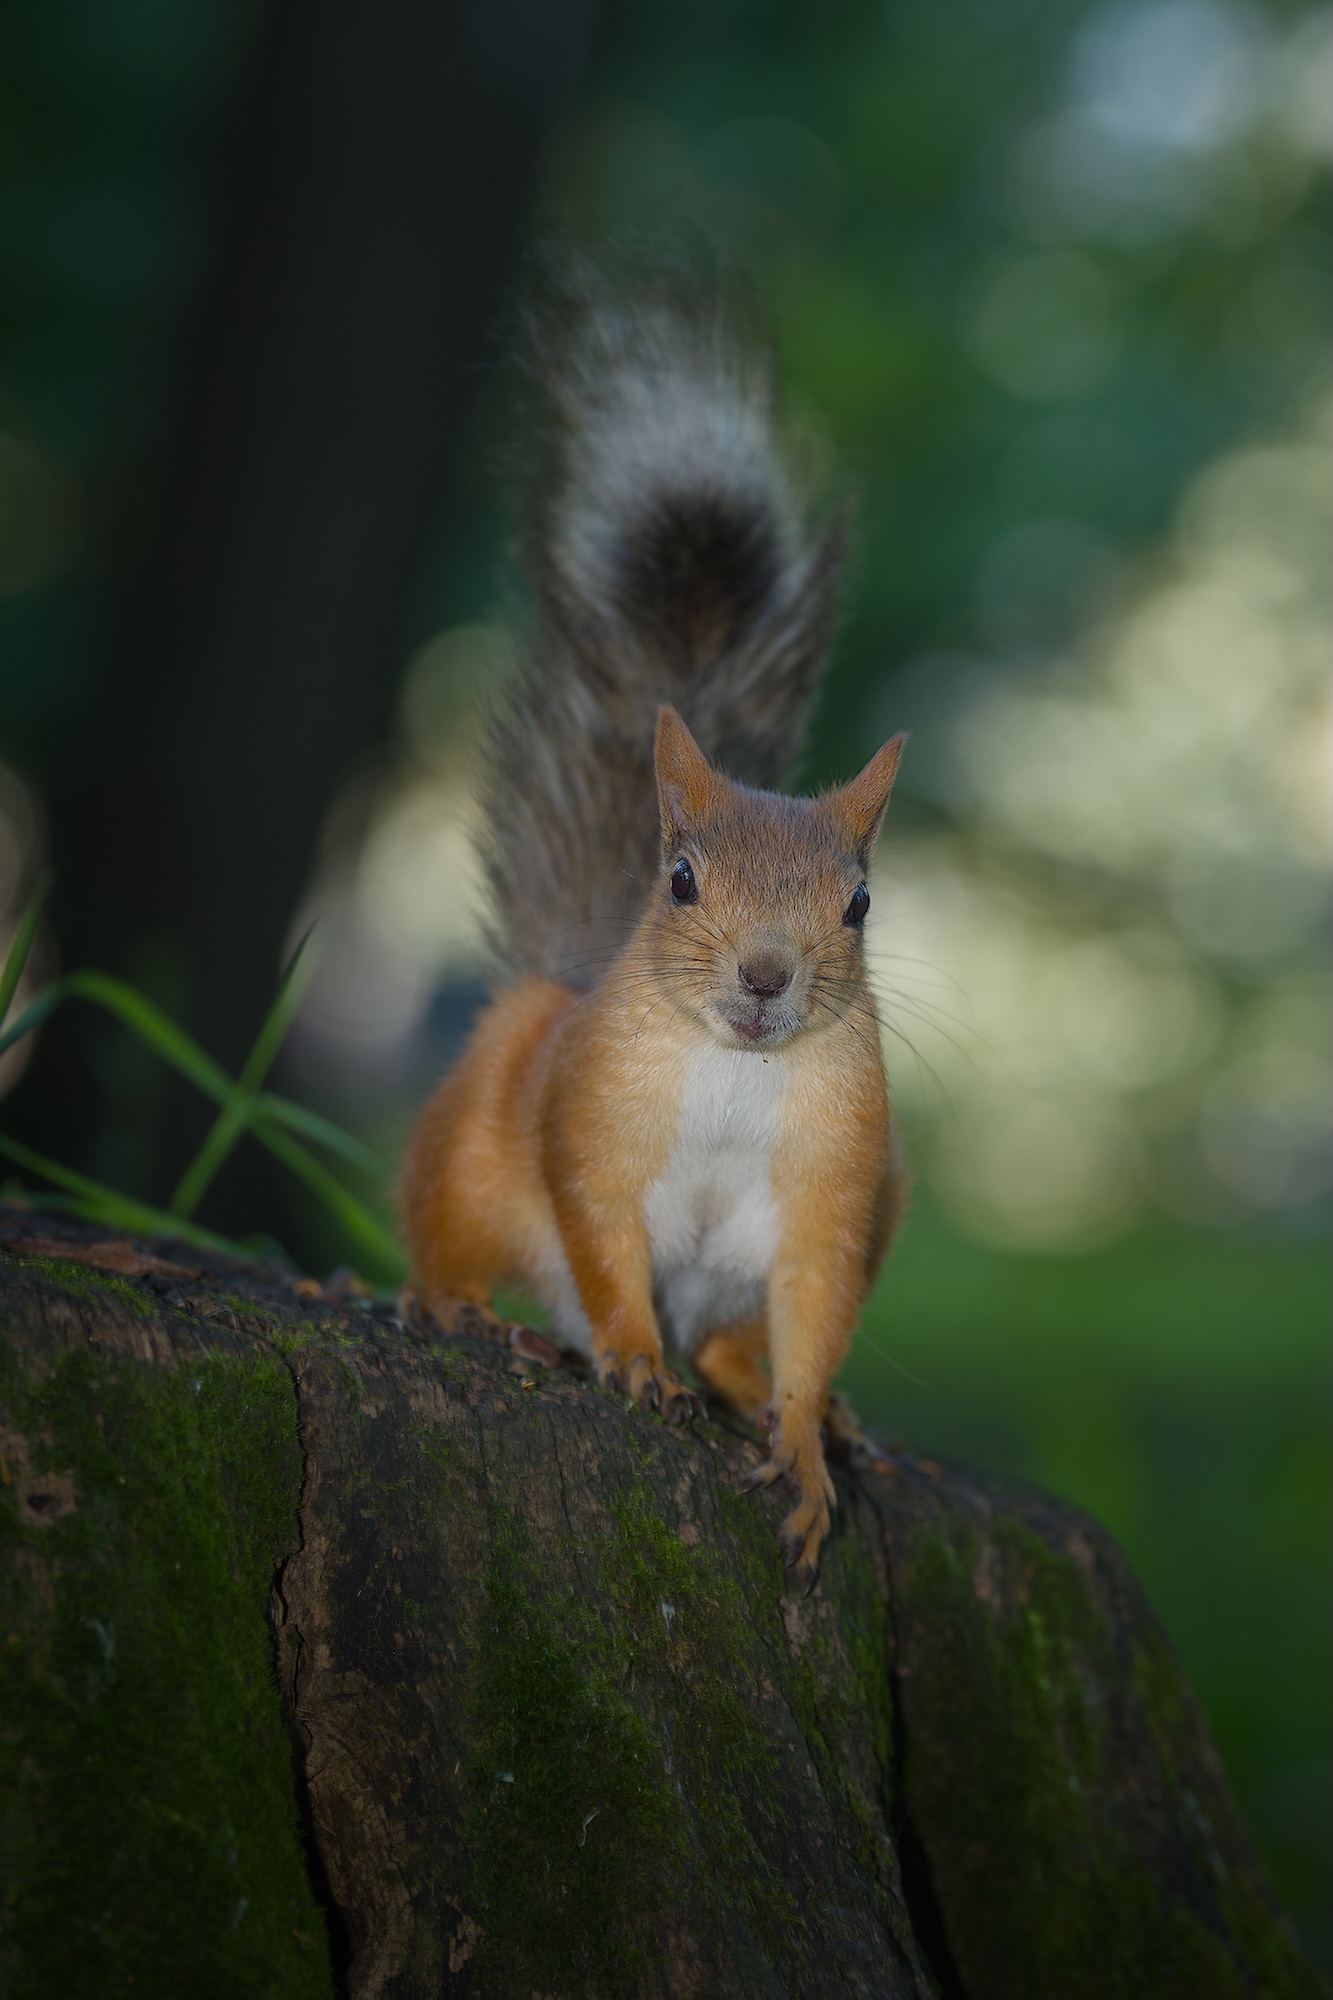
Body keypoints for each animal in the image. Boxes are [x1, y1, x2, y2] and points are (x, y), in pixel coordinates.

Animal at [400, 259, 908, 1587]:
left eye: (859, 902)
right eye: (678, 879)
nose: (766, 975)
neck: (735, 1071)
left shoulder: (834, 1191)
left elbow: (815, 1315)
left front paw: (804, 1445)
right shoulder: (589, 1127)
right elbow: (598, 1232)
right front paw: (631, 1357)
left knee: (735, 1346)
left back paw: (811, 1409)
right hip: (473, 1146)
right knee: (450, 1233)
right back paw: (461, 1305)